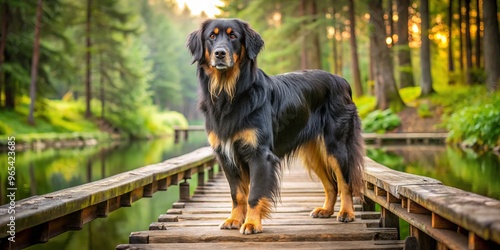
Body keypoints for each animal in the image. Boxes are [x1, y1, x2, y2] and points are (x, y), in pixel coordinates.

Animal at [187, 18, 364, 234]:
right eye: (211, 36)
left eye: (233, 36)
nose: (220, 53)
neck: (230, 92)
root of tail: (342, 80)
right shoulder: (226, 155)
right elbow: (237, 194)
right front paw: (234, 219)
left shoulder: (260, 154)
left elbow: (254, 194)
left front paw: (252, 223)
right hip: (314, 153)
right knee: (331, 184)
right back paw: (326, 210)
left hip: (336, 146)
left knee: (345, 181)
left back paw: (347, 212)